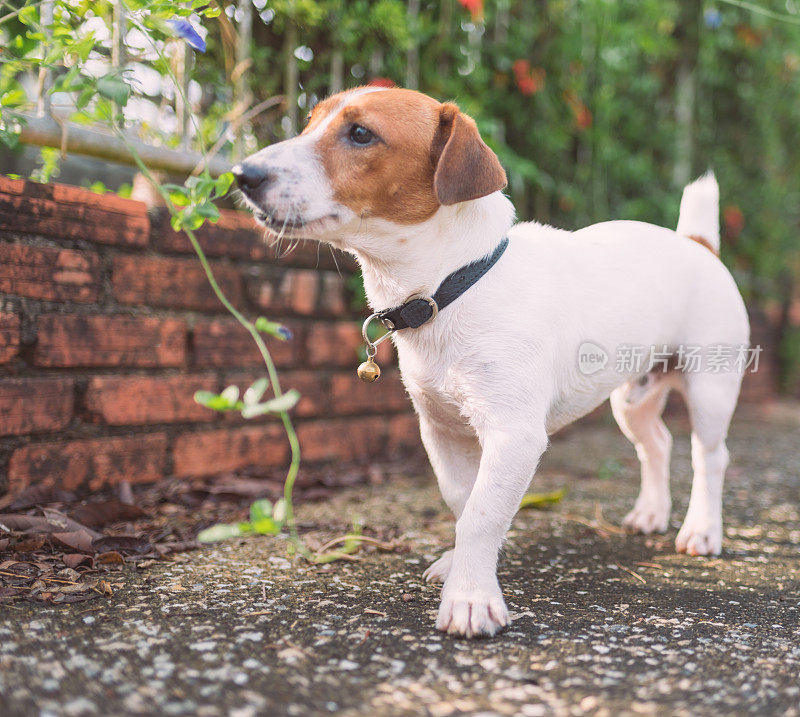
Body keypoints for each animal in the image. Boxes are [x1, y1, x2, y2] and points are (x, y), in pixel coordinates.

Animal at [231, 88, 752, 636]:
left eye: (360, 133)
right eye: (309, 122)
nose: (242, 174)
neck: (452, 286)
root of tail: (696, 245)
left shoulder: (514, 435)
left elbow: (482, 512)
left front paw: (471, 597)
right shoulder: (441, 430)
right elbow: (464, 502)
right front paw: (463, 564)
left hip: (712, 387)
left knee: (709, 456)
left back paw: (702, 529)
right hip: (632, 397)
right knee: (657, 443)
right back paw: (651, 513)